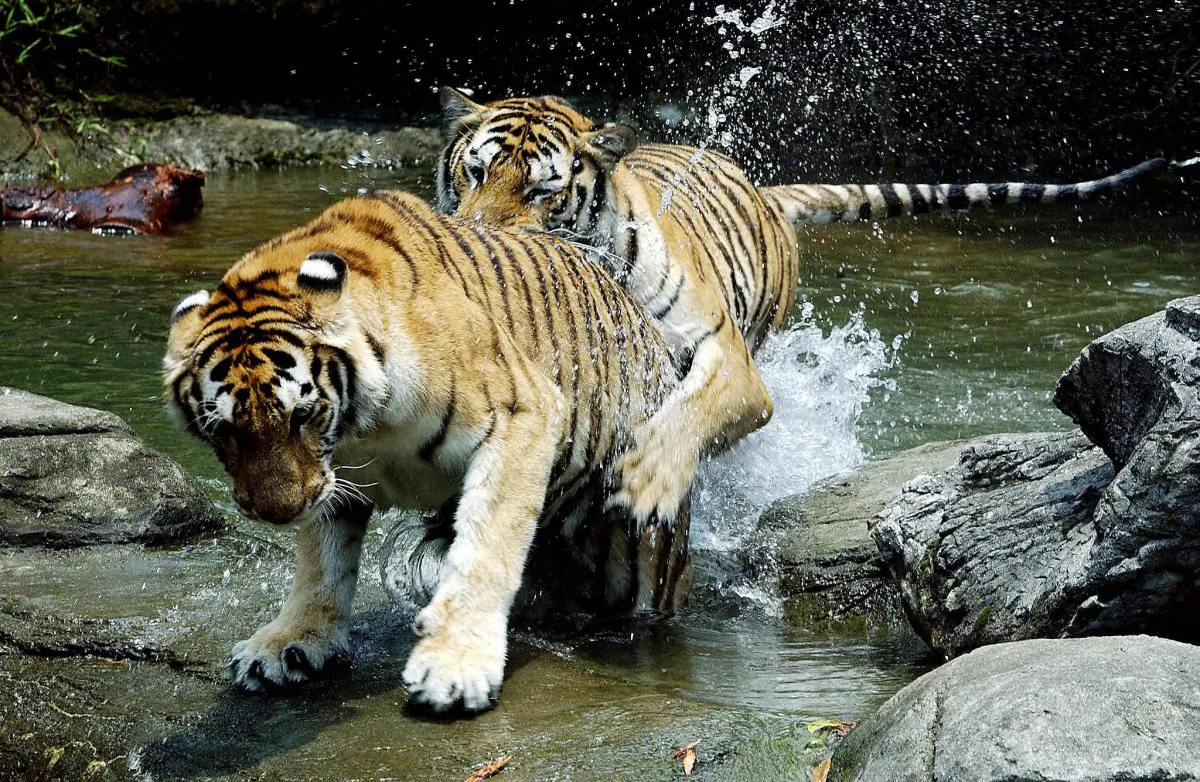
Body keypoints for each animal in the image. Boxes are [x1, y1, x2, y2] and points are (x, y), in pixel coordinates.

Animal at [162, 189, 693, 715]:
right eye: (228, 431)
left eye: (303, 414)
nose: (279, 514)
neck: (363, 427)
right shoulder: (332, 476)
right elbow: (322, 562)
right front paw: (289, 643)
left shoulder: (524, 412)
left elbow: (486, 548)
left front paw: (455, 665)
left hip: (641, 545)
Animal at [436, 85, 1170, 529]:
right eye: (475, 171)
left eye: (541, 191)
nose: (477, 234)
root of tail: (764, 192)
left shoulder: (732, 363)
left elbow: (687, 417)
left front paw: (646, 483)